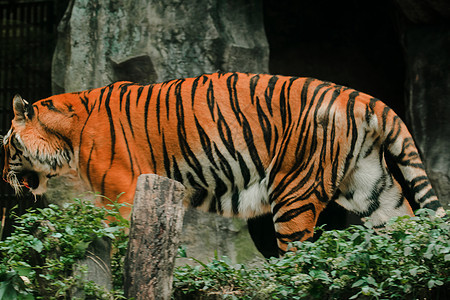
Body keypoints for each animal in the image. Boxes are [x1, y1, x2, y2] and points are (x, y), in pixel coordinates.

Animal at [0, 72, 444, 255]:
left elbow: (116, 238)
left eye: (6, 146)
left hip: (293, 193)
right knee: (404, 227)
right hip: (371, 189)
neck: (68, 135)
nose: (3, 179)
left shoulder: (120, 192)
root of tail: (361, 97)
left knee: (299, 259)